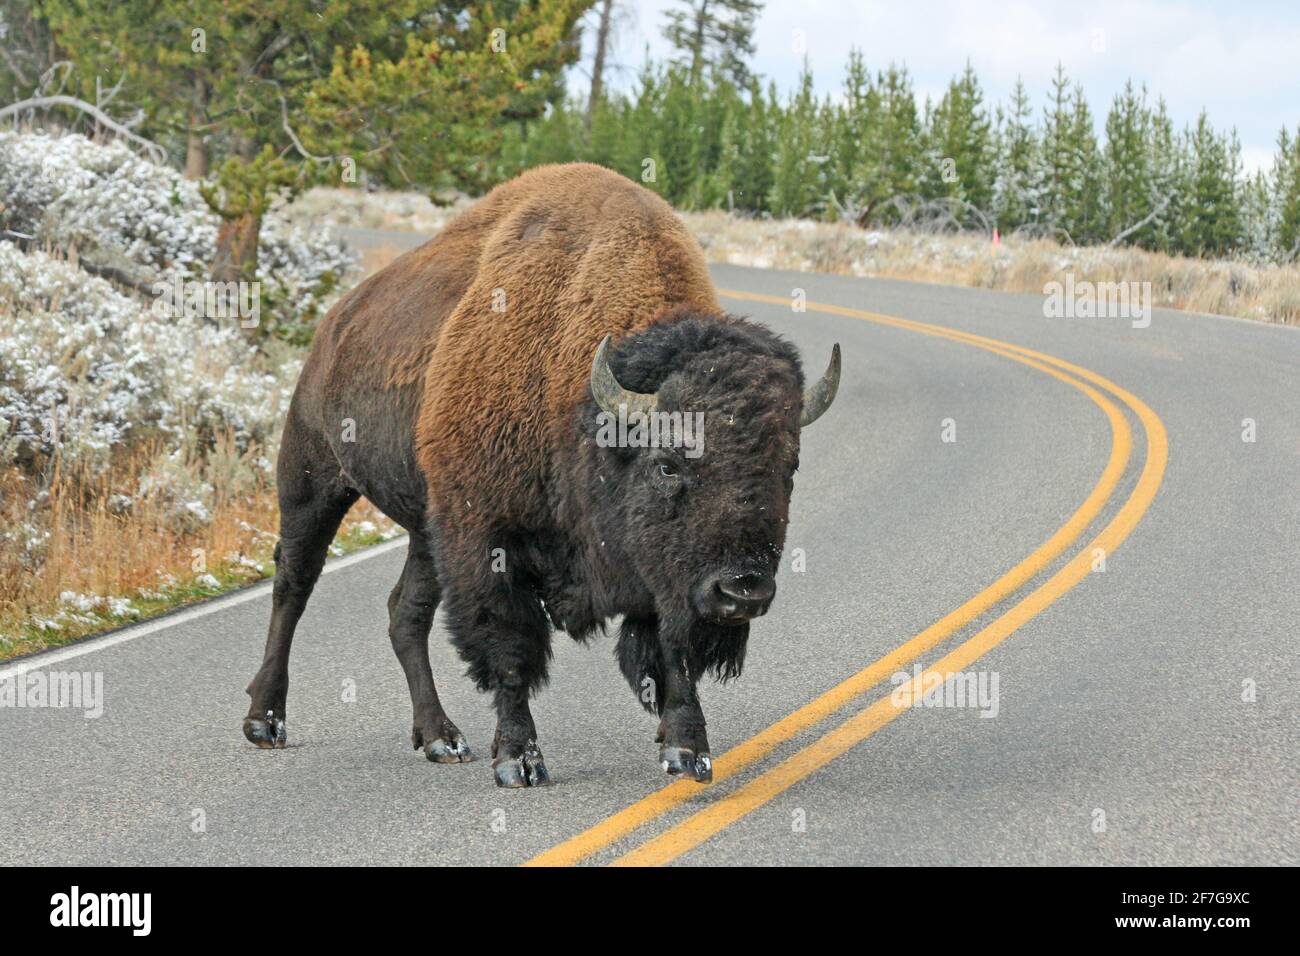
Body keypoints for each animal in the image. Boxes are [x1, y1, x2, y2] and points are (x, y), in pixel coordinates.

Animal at [244, 164, 837, 790]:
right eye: (667, 463)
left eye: (788, 467)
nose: (742, 590)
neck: (580, 403)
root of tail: (336, 322)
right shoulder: (489, 543)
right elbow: (511, 650)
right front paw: (519, 761)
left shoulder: (659, 576)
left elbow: (670, 653)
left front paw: (687, 750)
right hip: (314, 482)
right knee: (293, 584)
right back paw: (266, 721)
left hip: (427, 529)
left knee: (405, 613)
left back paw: (441, 738)